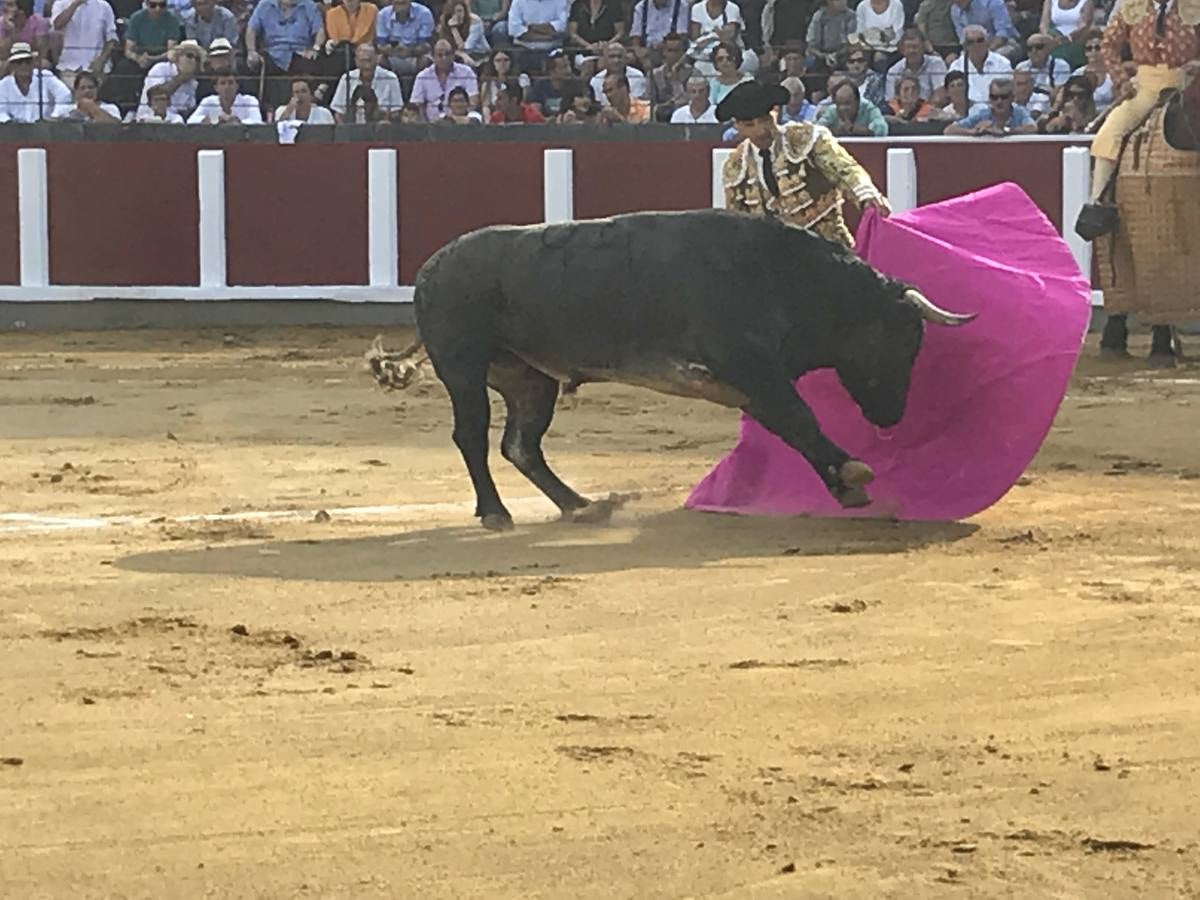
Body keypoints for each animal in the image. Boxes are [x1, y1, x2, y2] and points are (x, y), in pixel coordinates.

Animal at [364, 211, 974, 532]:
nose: (892, 416)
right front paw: (852, 475)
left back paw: (581, 505)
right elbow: (800, 418)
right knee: (471, 434)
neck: (788, 278)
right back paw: (496, 514)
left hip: (529, 379)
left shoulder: (752, 383)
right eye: (903, 339)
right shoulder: (750, 367)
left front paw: (844, 485)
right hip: (464, 366)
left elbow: (792, 425)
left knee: (521, 443)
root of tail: (430, 269)